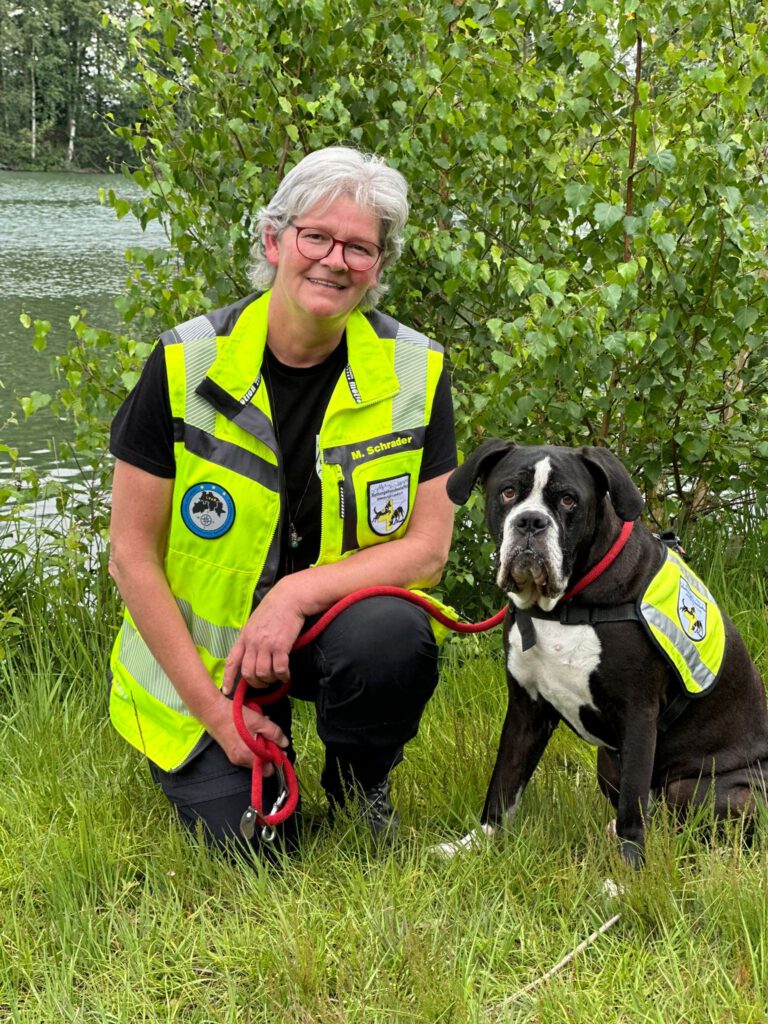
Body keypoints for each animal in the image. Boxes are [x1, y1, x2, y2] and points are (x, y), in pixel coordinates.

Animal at [438, 444, 768, 868]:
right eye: (508, 492)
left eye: (568, 500)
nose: (530, 522)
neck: (562, 606)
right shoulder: (526, 710)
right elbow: (504, 782)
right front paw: (475, 843)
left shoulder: (638, 715)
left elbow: (632, 808)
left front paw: (628, 872)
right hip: (608, 764)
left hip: (698, 787)